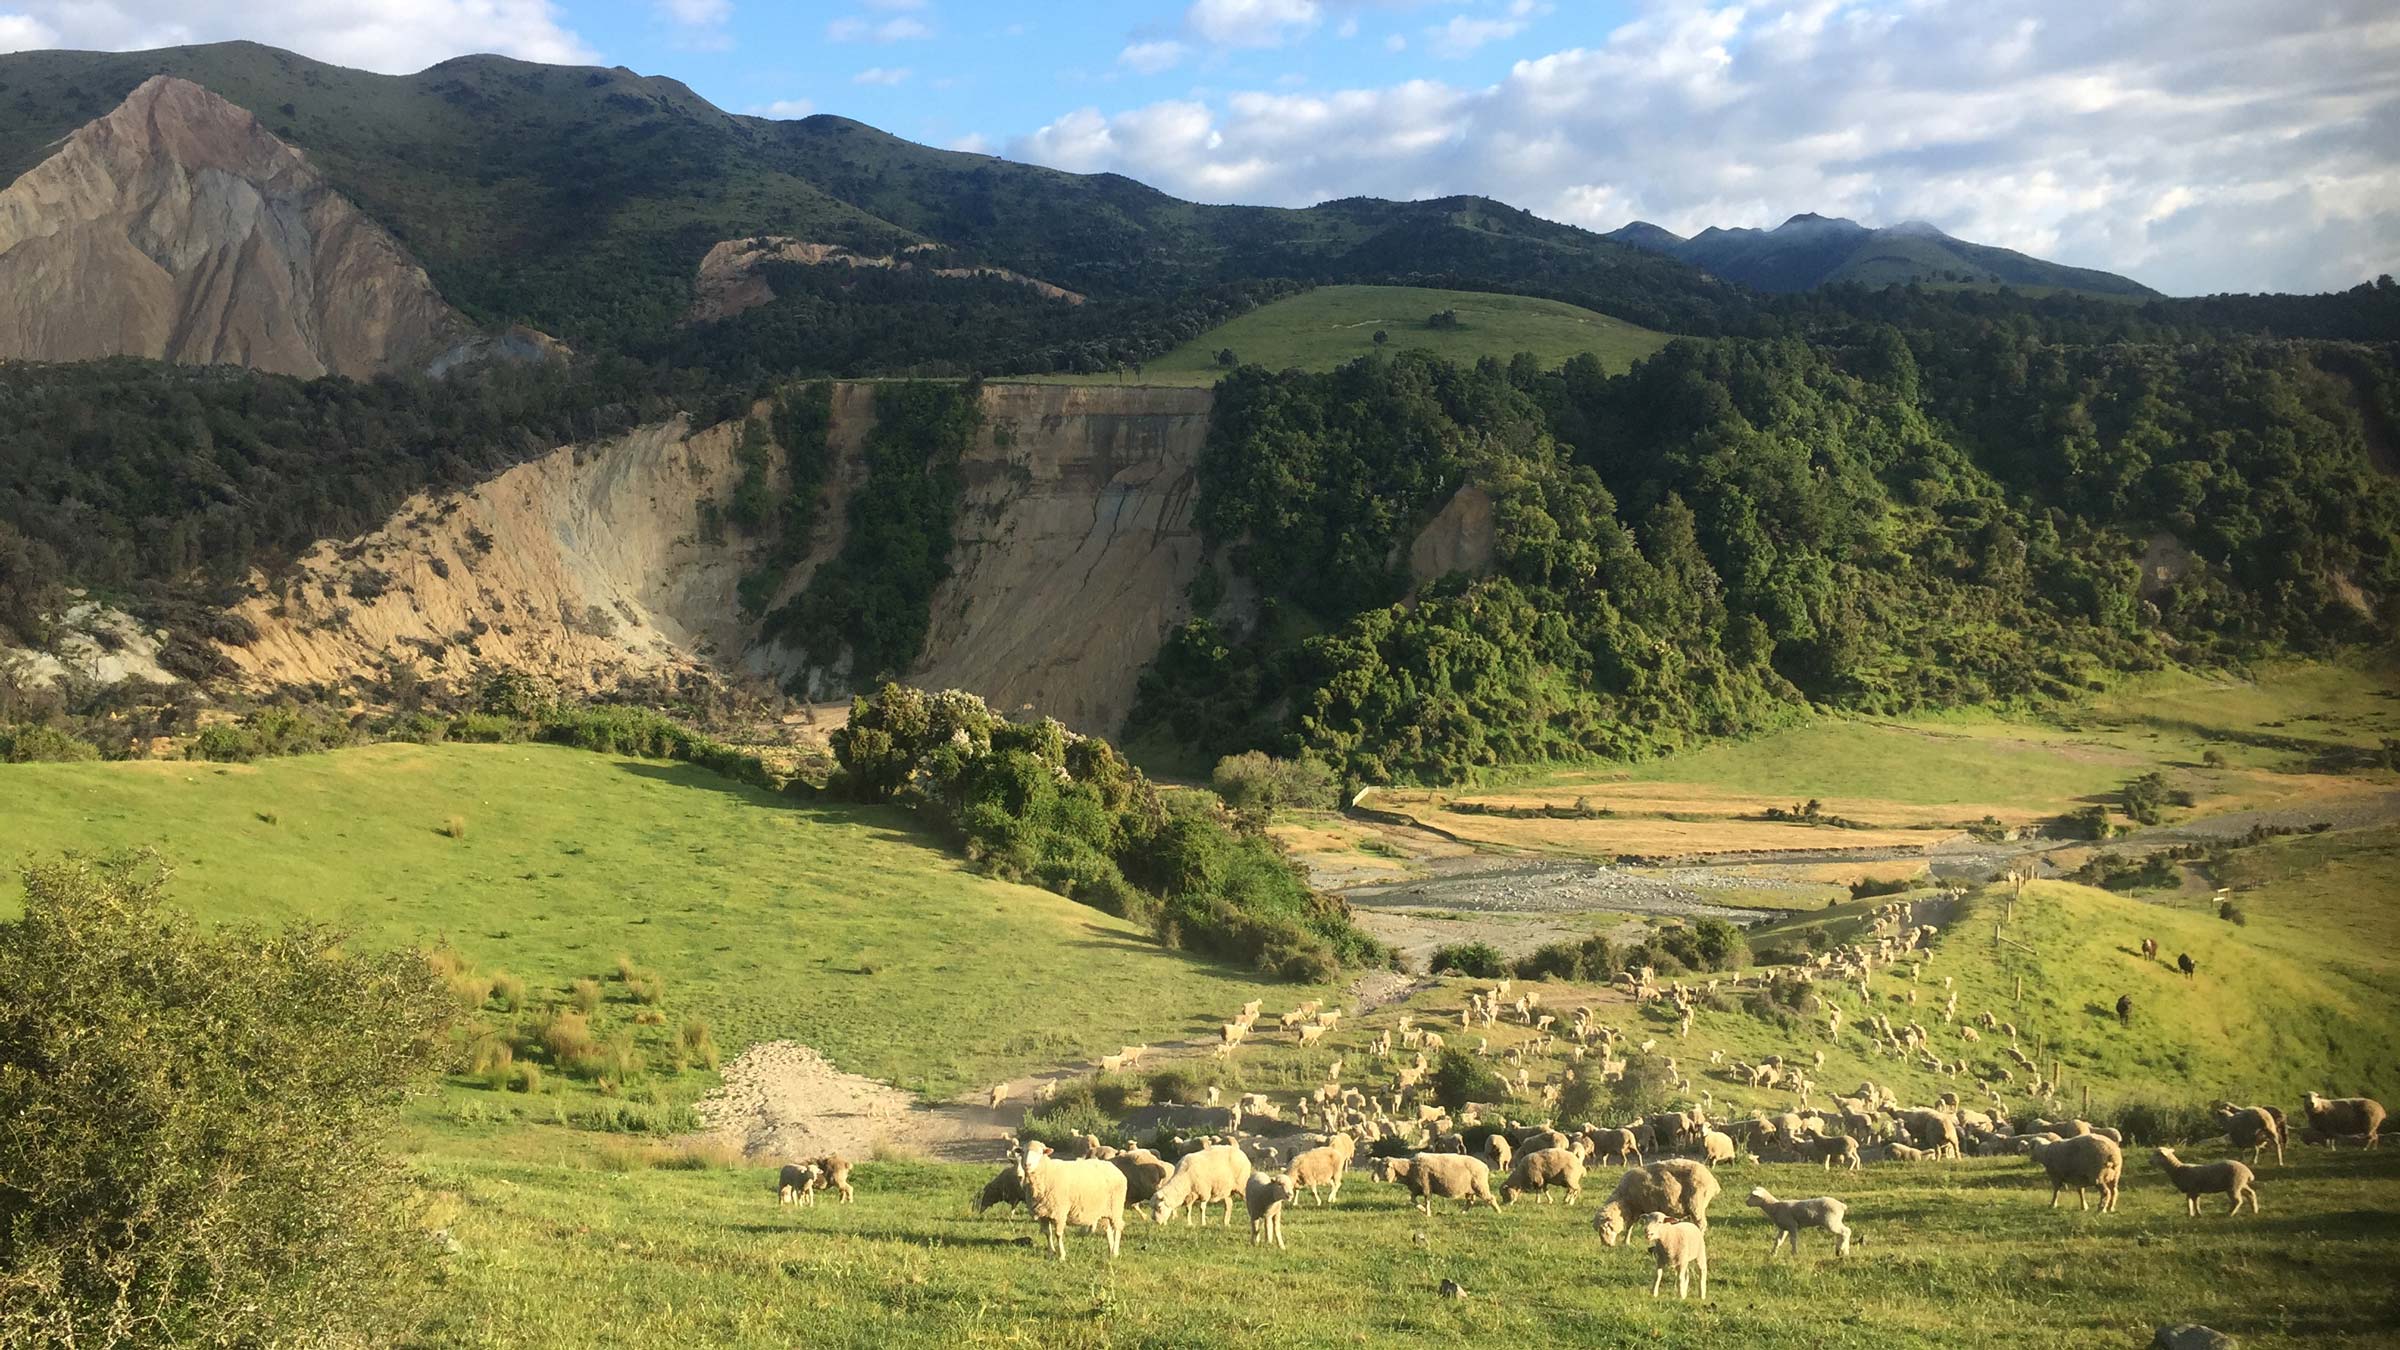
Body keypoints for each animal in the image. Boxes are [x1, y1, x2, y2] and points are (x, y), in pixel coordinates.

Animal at [1593, 1157, 1728, 1239]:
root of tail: (1712, 1179)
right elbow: (1630, 1226)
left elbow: (1633, 1224)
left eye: (1605, 1228)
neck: (1624, 1197)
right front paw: (1626, 1243)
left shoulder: (1642, 1207)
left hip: (1696, 1203)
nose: (1606, 1246)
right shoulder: (1636, 1210)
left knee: (1701, 1224)